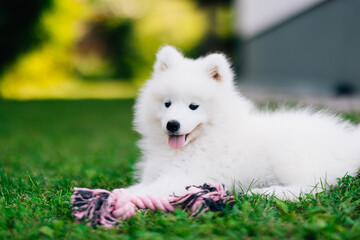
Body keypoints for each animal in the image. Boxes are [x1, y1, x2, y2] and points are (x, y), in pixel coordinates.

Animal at [126, 46, 360, 200]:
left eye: (194, 106)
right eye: (167, 104)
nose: (172, 124)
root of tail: (348, 140)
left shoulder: (187, 177)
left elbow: (147, 191)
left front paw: (123, 200)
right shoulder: (154, 175)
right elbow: (137, 187)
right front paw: (124, 193)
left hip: (290, 151)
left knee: (313, 186)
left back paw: (266, 193)